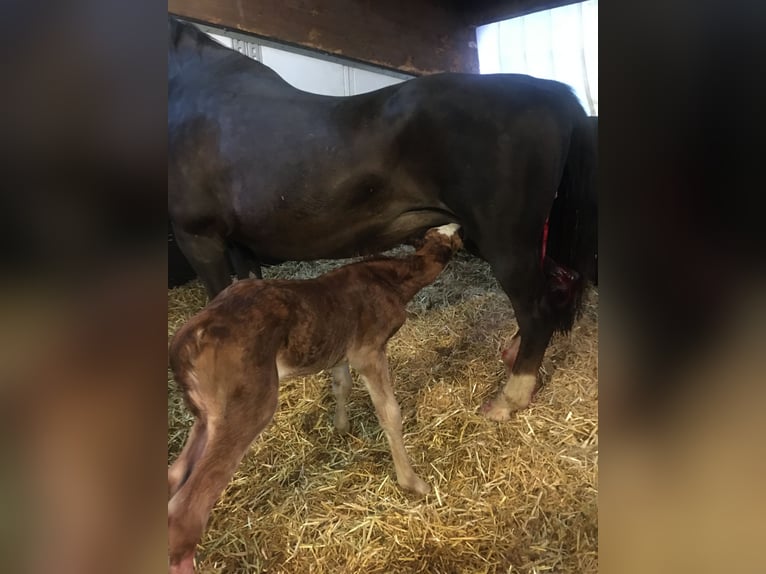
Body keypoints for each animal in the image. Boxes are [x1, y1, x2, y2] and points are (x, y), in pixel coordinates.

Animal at [168, 223, 462, 572]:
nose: (458, 226)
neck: (389, 278)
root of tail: (186, 341)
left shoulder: (340, 348)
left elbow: (341, 384)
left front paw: (341, 428)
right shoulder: (368, 350)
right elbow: (389, 412)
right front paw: (413, 482)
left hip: (206, 415)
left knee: (175, 473)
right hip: (247, 406)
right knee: (187, 510)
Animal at [170, 15, 600, 426]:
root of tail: (555, 94)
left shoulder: (200, 238)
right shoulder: (240, 245)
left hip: (506, 242)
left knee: (536, 310)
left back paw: (509, 400)